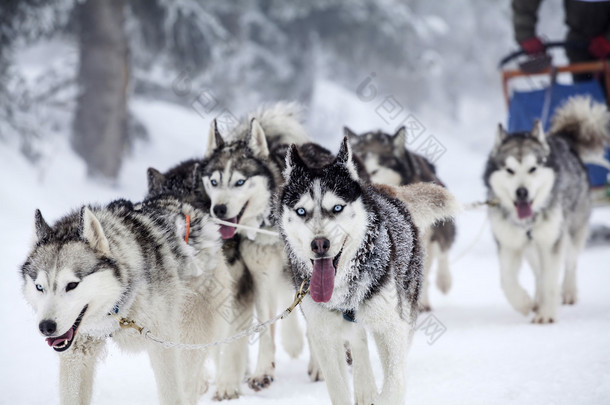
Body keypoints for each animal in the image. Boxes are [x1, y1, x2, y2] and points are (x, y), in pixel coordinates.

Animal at [21, 194, 235, 402]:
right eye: (40, 287)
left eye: (72, 285)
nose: (46, 327)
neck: (119, 306)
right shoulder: (77, 354)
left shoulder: (163, 346)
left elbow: (172, 393)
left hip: (188, 339)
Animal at [201, 102, 308, 390]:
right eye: (214, 181)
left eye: (240, 182)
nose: (219, 209)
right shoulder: (261, 278)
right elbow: (264, 328)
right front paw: (262, 370)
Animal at [482, 96, 604, 324]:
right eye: (510, 170)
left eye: (533, 169)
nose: (522, 192)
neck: (527, 223)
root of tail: (564, 141)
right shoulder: (509, 244)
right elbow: (507, 280)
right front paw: (524, 303)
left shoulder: (551, 242)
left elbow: (550, 279)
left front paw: (546, 314)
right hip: (532, 248)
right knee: (538, 272)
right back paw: (538, 299)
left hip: (570, 231)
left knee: (570, 262)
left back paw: (568, 292)